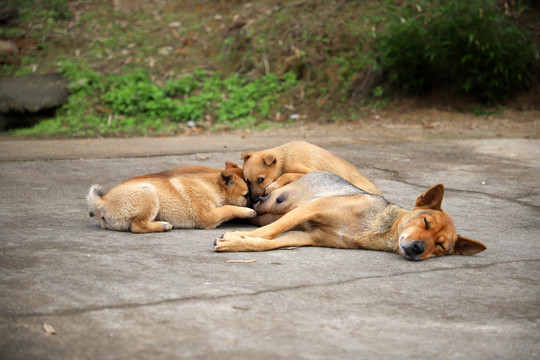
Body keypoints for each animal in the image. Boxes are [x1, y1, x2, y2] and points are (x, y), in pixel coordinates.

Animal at [87, 161, 256, 233]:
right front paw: (247, 211)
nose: (255, 202)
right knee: (137, 226)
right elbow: (228, 208)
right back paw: (162, 226)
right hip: (148, 193)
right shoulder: (207, 216)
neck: (211, 186)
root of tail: (101, 201)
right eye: (246, 195)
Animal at [213, 170, 488, 260]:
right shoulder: (312, 208)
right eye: (425, 221)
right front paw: (237, 237)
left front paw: (237, 243)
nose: (418, 248)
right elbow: (270, 231)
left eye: (440, 246)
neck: (376, 226)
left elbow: (266, 242)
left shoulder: (309, 236)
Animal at [240, 141, 380, 202]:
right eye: (247, 181)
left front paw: (273, 185)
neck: (285, 157)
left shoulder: (307, 170)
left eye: (261, 180)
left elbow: (286, 175)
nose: (254, 200)